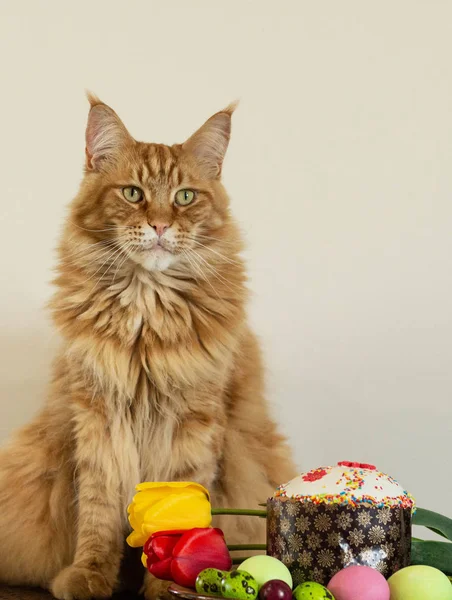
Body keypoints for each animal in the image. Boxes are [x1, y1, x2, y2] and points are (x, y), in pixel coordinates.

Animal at [0, 95, 296, 600]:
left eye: (185, 197)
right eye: (133, 194)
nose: (158, 225)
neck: (146, 308)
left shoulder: (195, 420)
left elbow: (179, 512)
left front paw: (166, 580)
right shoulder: (96, 416)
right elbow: (97, 513)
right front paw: (92, 575)